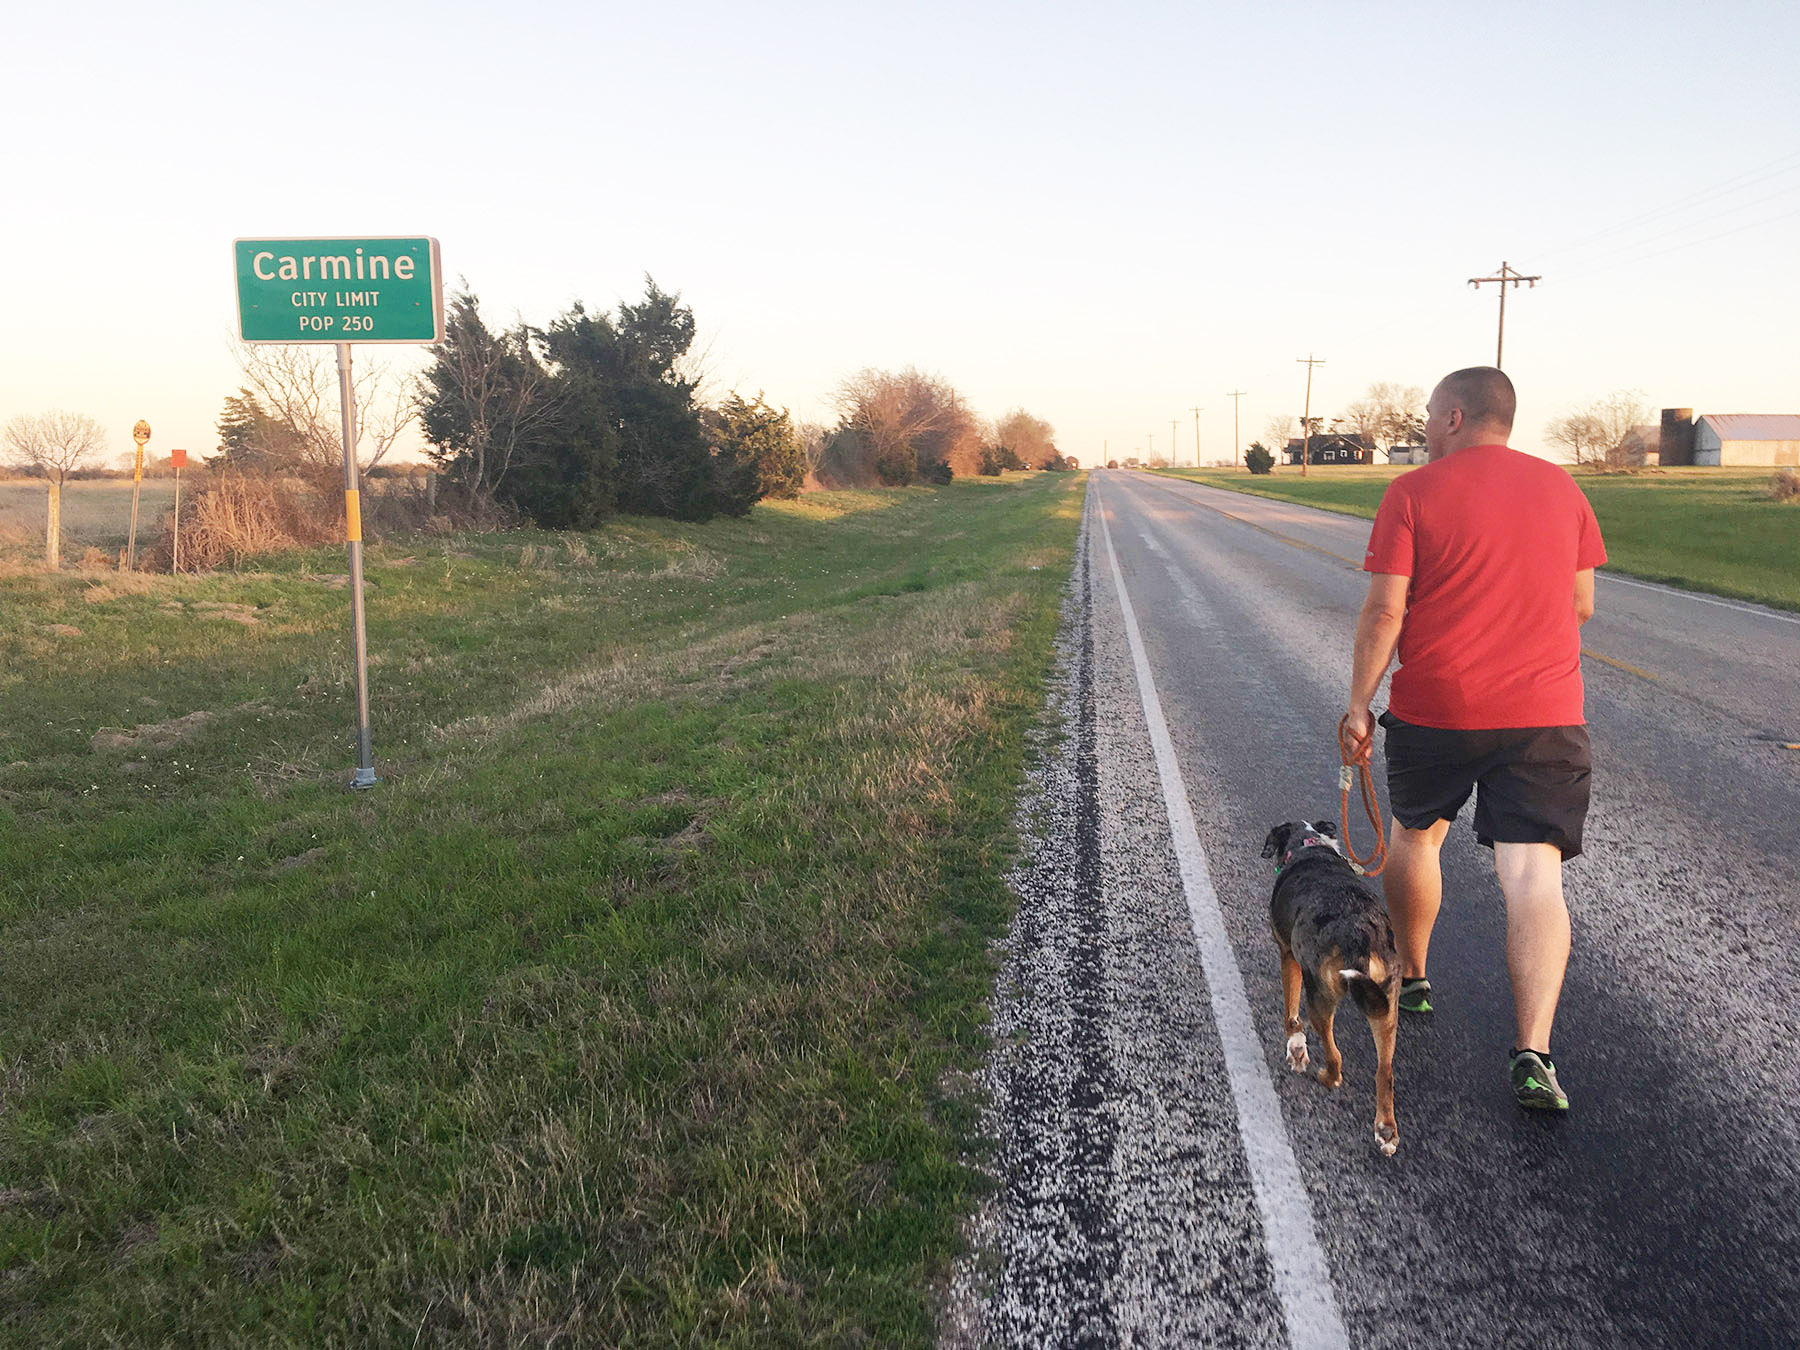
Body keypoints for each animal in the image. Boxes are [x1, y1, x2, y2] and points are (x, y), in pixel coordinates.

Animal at [1260, 820, 1396, 1159]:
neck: (1309, 846)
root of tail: (1358, 936)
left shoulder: (1288, 957)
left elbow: (1290, 1013)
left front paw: (1296, 1048)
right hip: (1385, 1005)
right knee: (1385, 1072)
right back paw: (1386, 1131)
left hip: (1320, 997)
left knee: (1336, 1057)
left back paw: (1325, 1076)